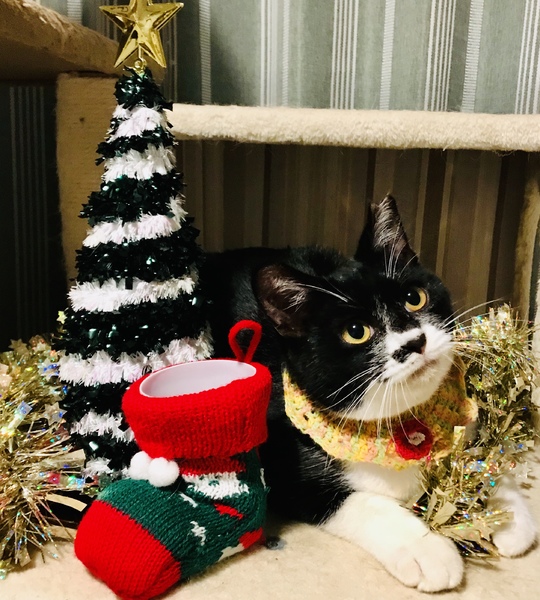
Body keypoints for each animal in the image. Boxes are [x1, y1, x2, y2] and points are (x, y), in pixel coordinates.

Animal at [200, 195, 537, 592]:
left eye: (414, 297)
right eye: (356, 331)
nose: (414, 342)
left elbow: (480, 454)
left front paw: (507, 509)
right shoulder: (279, 457)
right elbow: (351, 499)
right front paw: (426, 549)